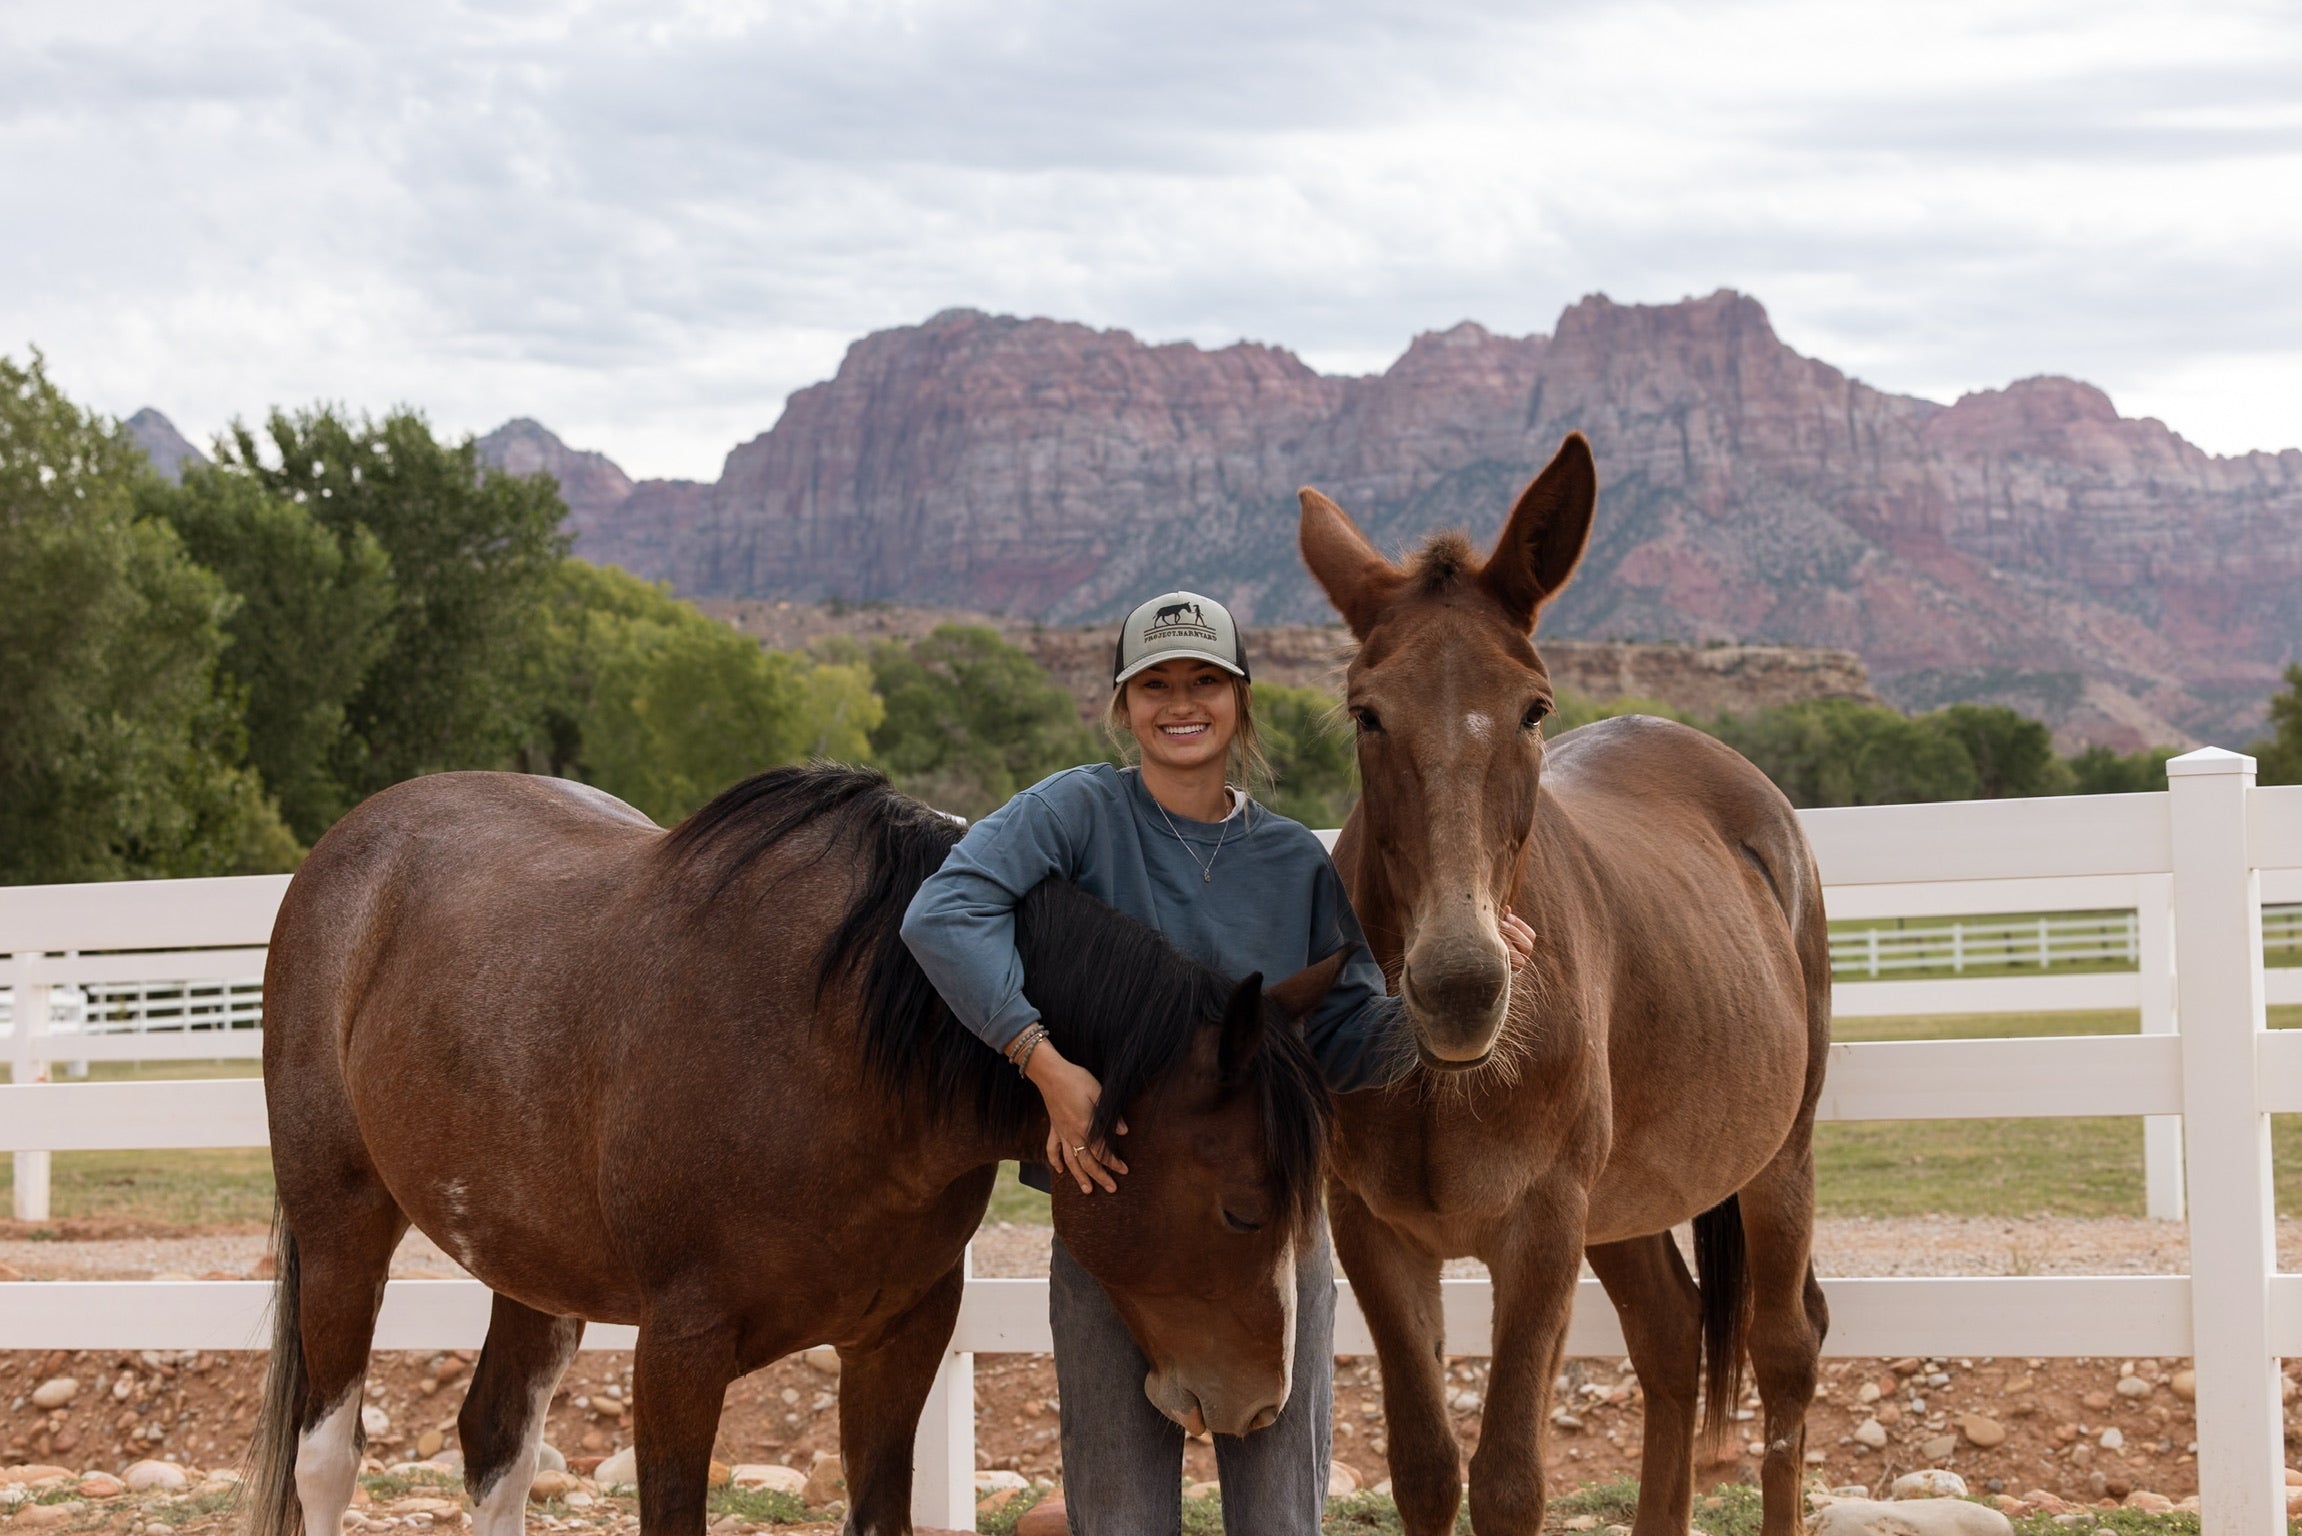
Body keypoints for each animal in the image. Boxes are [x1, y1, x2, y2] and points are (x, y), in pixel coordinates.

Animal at [244, 764, 1344, 1536]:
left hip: (533, 1266)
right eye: (1240, 1208)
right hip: (342, 1232)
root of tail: (352, 850)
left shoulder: (901, 1338)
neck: (842, 1047)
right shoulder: (679, 1353)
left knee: (497, 1447)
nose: (1260, 1406)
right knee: (327, 1460)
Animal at [1296, 434, 1831, 1536]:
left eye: (1533, 709)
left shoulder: (1540, 1227)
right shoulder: (1374, 1232)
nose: (1460, 987)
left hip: (1778, 1159)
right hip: (1626, 1200)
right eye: (1365, 714)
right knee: (1673, 1339)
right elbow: (1425, 1466)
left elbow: (1509, 1478)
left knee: (1783, 1353)